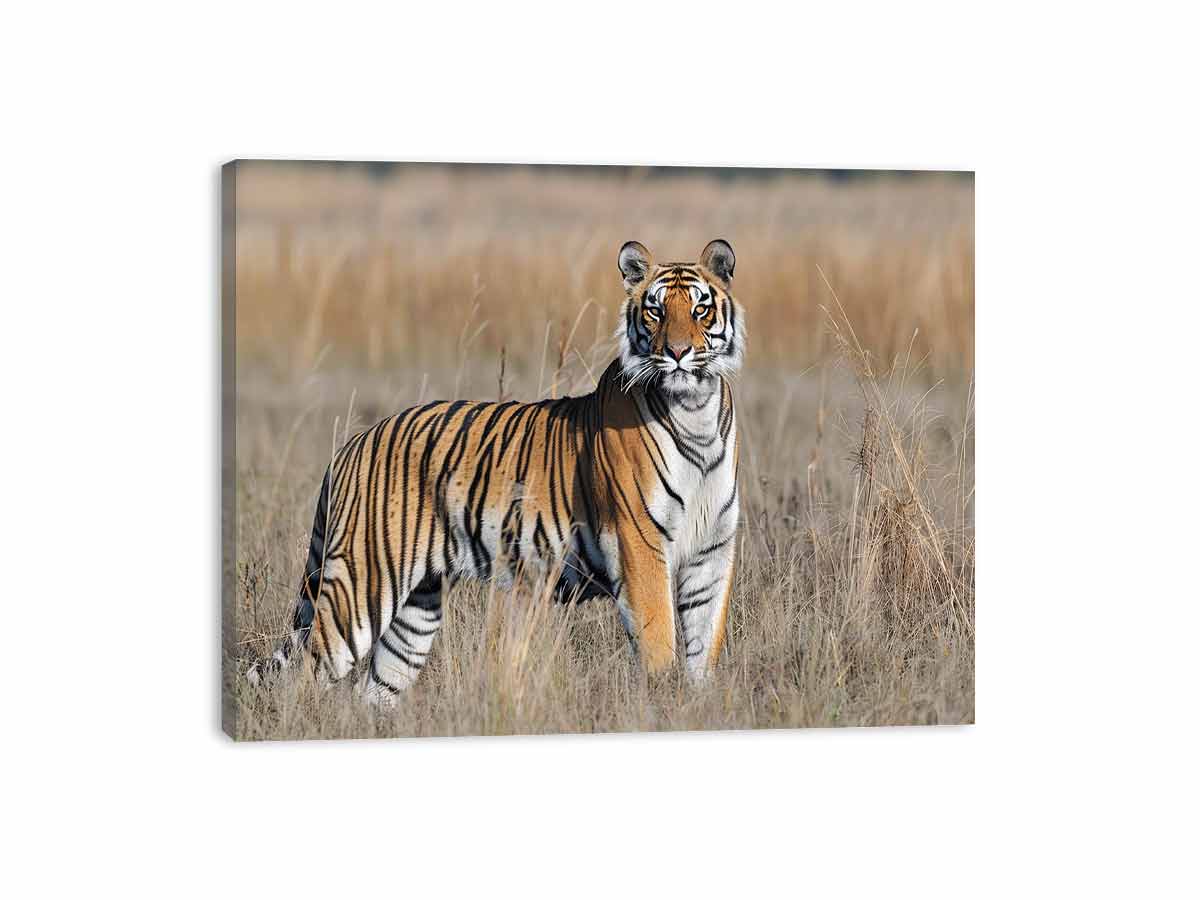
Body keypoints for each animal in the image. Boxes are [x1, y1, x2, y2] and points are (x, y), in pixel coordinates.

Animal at [248, 238, 745, 702]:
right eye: (655, 312)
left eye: (700, 309)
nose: (678, 353)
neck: (695, 412)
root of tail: (352, 445)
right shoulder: (640, 544)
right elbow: (660, 641)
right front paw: (664, 703)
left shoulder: (712, 550)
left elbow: (704, 643)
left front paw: (697, 705)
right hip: (360, 585)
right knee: (306, 673)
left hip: (417, 608)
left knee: (375, 688)